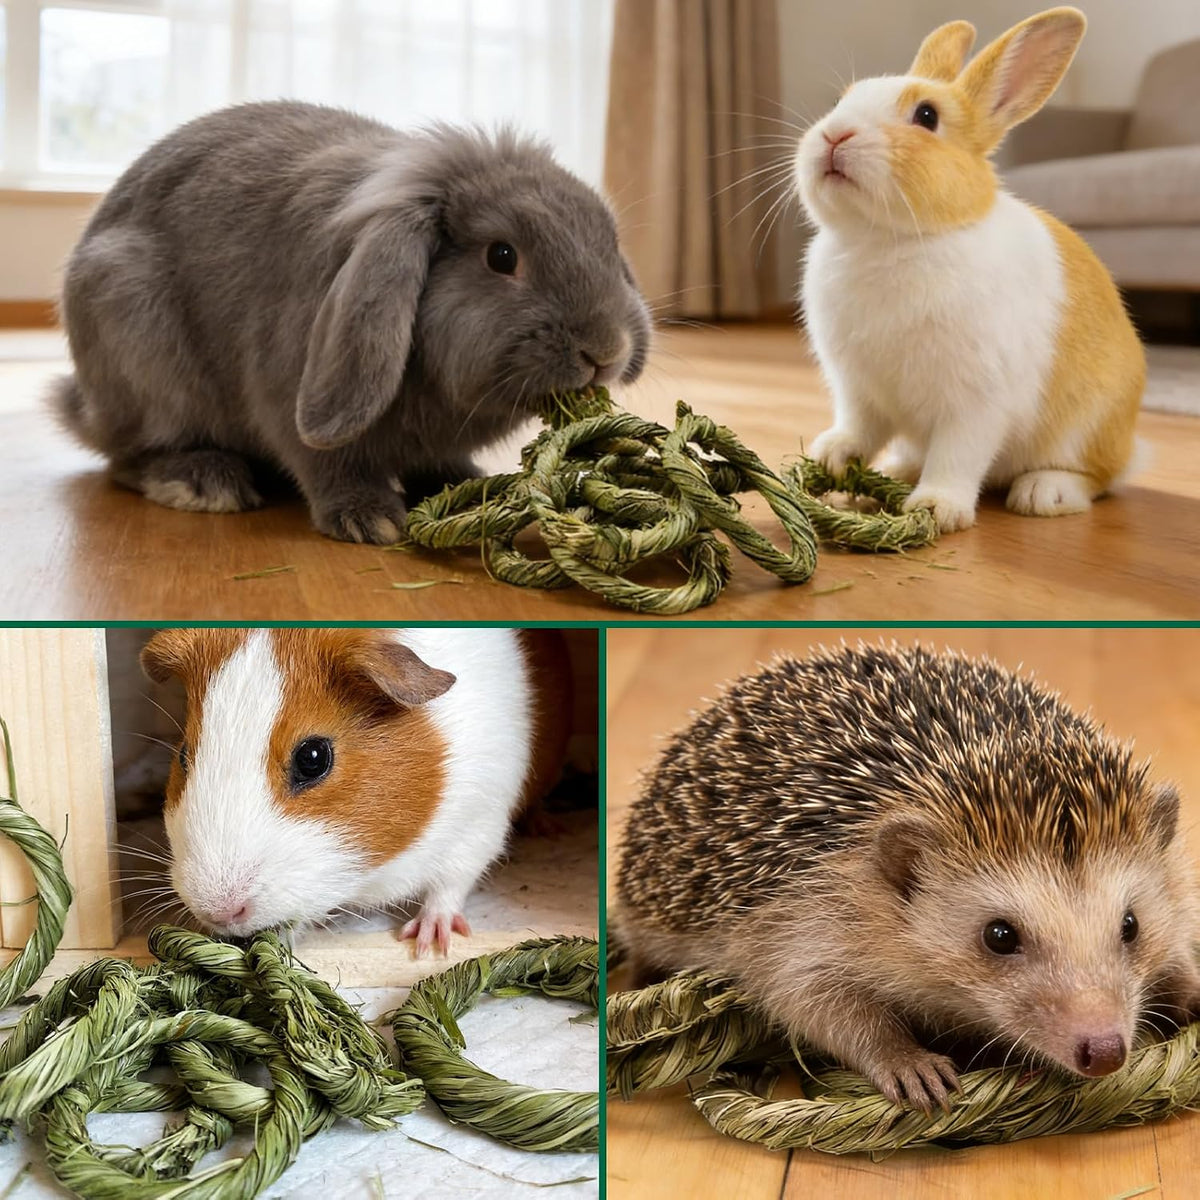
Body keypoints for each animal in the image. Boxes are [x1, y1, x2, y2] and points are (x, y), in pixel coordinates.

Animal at [52, 101, 651, 544]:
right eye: (502, 257)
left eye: (608, 242)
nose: (606, 352)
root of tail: (82, 404)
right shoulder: (288, 398)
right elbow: (326, 460)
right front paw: (372, 519)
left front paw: (468, 486)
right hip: (136, 335)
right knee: (129, 458)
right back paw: (204, 483)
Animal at [140, 626, 573, 956]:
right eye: (183, 754)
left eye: (313, 757)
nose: (219, 911)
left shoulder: (480, 821)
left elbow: (449, 885)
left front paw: (427, 944)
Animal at [793, 8, 1145, 533]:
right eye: (840, 101)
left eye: (926, 116)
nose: (834, 135)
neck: (887, 240)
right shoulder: (857, 388)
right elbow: (859, 426)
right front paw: (831, 456)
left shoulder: (976, 401)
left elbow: (957, 454)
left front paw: (938, 508)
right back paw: (898, 469)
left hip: (1086, 428)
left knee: (1097, 478)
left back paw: (1043, 493)